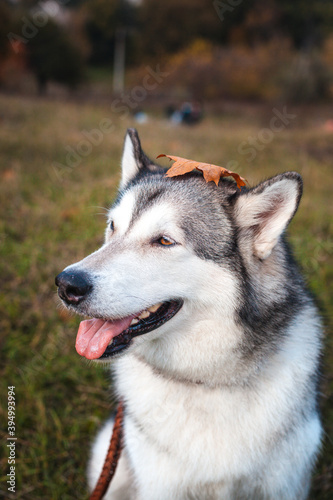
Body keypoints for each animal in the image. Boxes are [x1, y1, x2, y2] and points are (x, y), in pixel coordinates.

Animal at [55, 130, 320, 500]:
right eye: (113, 227)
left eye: (165, 241)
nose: (67, 284)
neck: (207, 381)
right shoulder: (160, 484)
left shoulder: (283, 485)